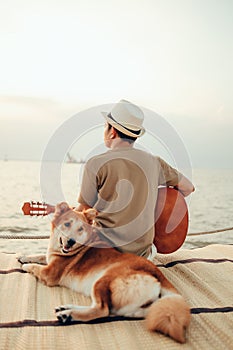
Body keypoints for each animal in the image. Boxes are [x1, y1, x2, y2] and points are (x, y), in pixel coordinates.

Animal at [17, 202, 189, 342]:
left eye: (80, 229)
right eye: (66, 224)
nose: (71, 241)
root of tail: (158, 275)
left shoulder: (50, 273)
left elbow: (36, 267)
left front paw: (26, 266)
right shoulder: (50, 258)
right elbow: (39, 255)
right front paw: (23, 256)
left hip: (103, 280)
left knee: (101, 310)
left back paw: (68, 315)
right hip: (130, 307)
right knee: (107, 309)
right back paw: (66, 310)